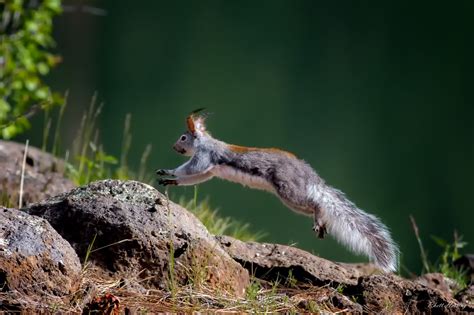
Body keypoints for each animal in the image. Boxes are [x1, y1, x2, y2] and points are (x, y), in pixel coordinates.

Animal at [157, 109, 398, 272]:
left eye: (183, 137)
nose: (173, 147)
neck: (205, 143)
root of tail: (310, 176)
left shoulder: (204, 158)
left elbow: (190, 170)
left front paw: (168, 171)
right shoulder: (209, 170)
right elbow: (195, 177)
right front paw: (171, 181)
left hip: (289, 192)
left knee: (316, 204)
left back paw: (319, 220)